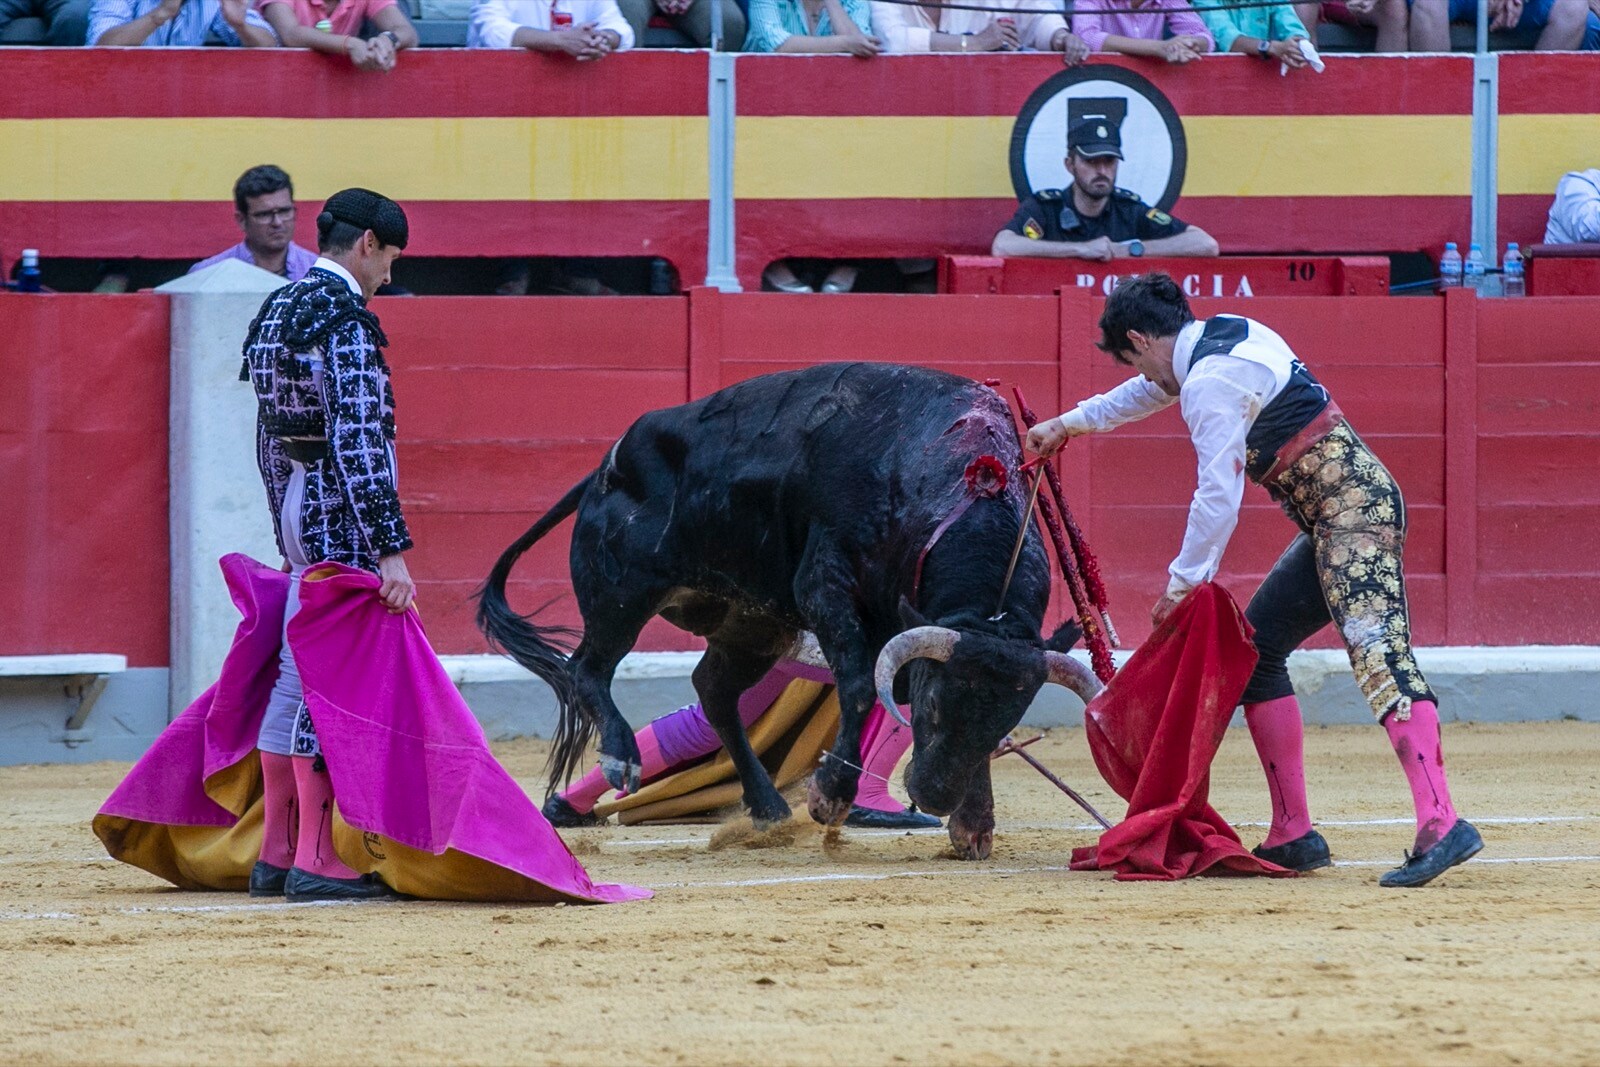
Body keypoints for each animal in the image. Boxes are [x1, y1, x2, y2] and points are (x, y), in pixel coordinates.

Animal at [473, 363, 1100, 863]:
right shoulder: (827, 589)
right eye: (932, 708)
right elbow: (859, 688)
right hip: (622, 593)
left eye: (1007, 722)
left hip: (753, 621)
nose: (936, 796)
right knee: (588, 669)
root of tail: (609, 461)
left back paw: (768, 807)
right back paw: (621, 760)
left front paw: (972, 825)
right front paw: (830, 797)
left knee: (713, 690)